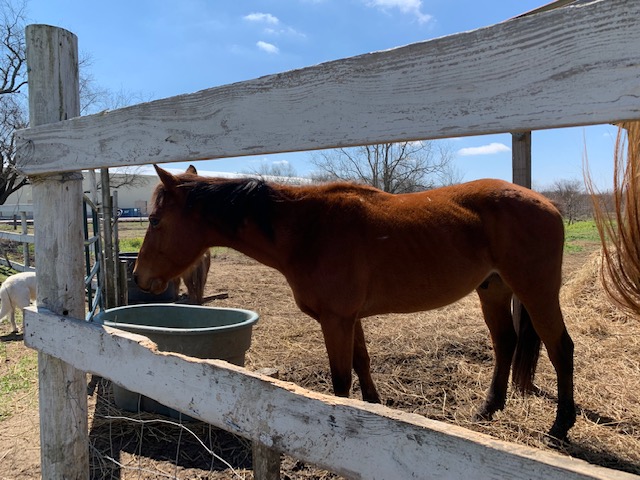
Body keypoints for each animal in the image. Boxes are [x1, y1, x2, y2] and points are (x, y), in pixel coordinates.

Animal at [133, 165, 576, 441]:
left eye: (154, 221)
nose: (139, 277)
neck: (307, 229)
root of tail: (547, 203)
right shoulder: (350, 319)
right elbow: (362, 365)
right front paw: (375, 409)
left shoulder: (336, 321)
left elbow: (341, 381)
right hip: (494, 290)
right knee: (505, 344)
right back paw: (489, 408)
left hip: (536, 291)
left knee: (561, 348)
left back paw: (559, 427)